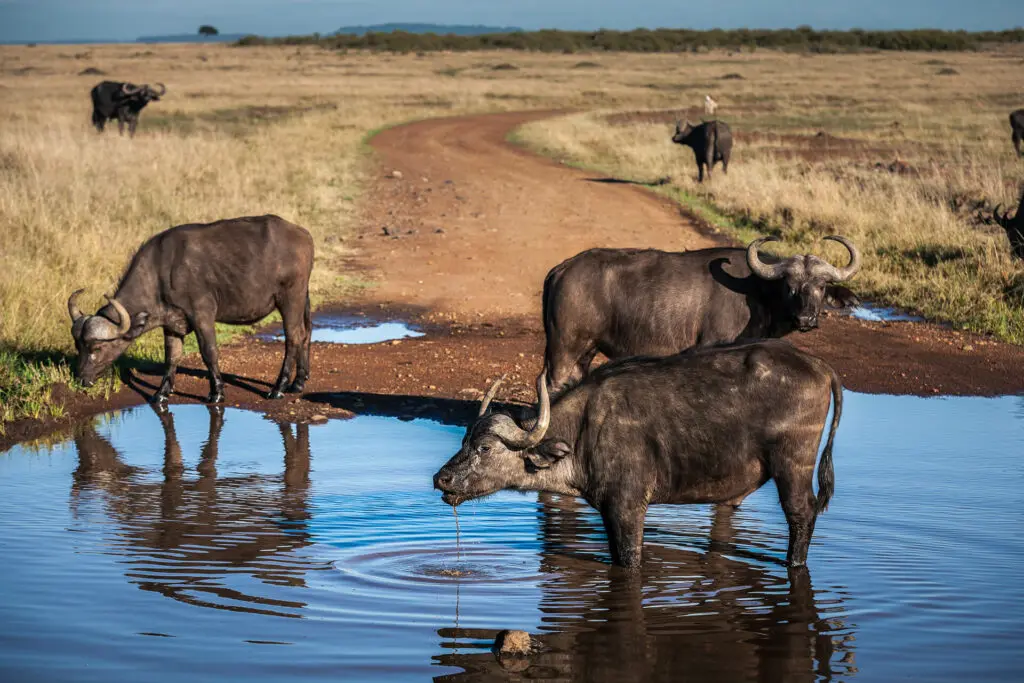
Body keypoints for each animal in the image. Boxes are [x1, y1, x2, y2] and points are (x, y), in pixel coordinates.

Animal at [67, 214, 314, 404]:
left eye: (97, 347)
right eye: (78, 346)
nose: (80, 379)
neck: (161, 272)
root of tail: (303, 235)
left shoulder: (202, 315)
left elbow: (209, 352)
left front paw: (216, 393)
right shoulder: (171, 323)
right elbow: (172, 357)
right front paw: (161, 393)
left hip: (289, 298)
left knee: (293, 337)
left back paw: (278, 388)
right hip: (303, 297)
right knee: (306, 333)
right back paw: (298, 382)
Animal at [433, 339, 843, 569]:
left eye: (485, 447)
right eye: (464, 441)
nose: (441, 478)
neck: (585, 432)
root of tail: (821, 367)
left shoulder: (628, 508)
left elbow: (629, 561)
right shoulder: (608, 511)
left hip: (793, 465)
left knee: (801, 513)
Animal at [542, 236, 860, 396]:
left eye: (821, 286)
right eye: (789, 285)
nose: (806, 319)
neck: (757, 290)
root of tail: (562, 269)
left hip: (585, 351)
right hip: (565, 348)